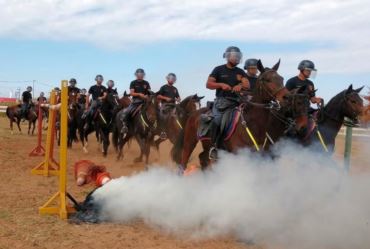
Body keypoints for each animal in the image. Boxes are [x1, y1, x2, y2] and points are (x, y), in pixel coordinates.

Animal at [173, 59, 310, 171]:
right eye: (267, 79)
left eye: (281, 79)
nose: (287, 97)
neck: (254, 124)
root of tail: (194, 114)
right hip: (189, 142)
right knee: (184, 162)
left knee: (203, 159)